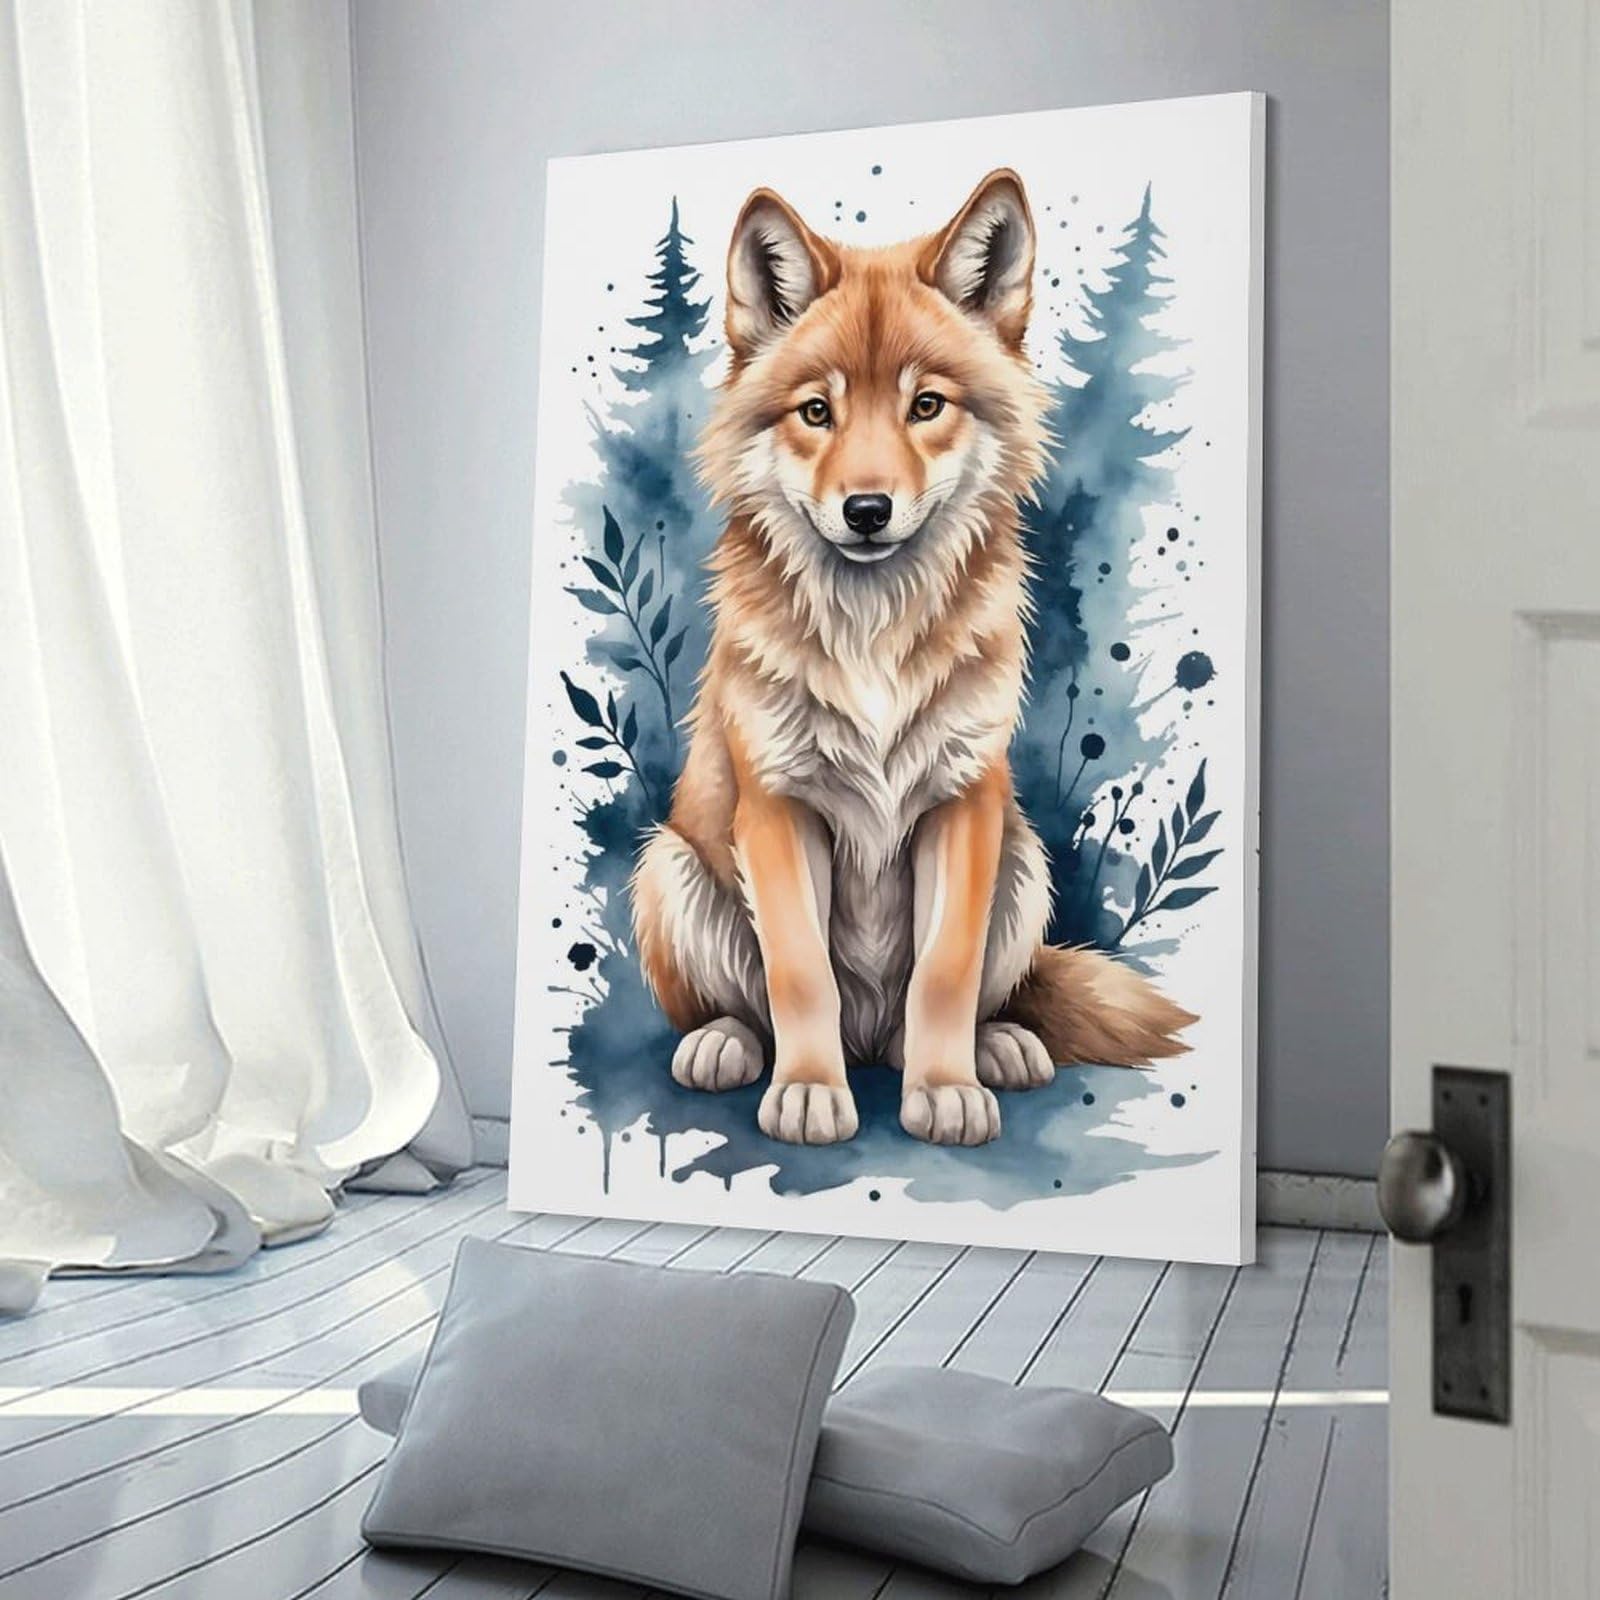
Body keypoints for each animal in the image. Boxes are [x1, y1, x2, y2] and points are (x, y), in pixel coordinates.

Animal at [630, 169, 1194, 1148]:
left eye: (925, 406)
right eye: (817, 412)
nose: (866, 510)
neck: (873, 634)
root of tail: (868, 1041)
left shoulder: (962, 806)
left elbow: (944, 974)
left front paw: (944, 1091)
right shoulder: (778, 810)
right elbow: (799, 973)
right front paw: (809, 1092)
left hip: (1023, 862)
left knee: (962, 1005)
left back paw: (993, 1048)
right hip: (670, 866)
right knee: (744, 1006)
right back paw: (727, 1046)